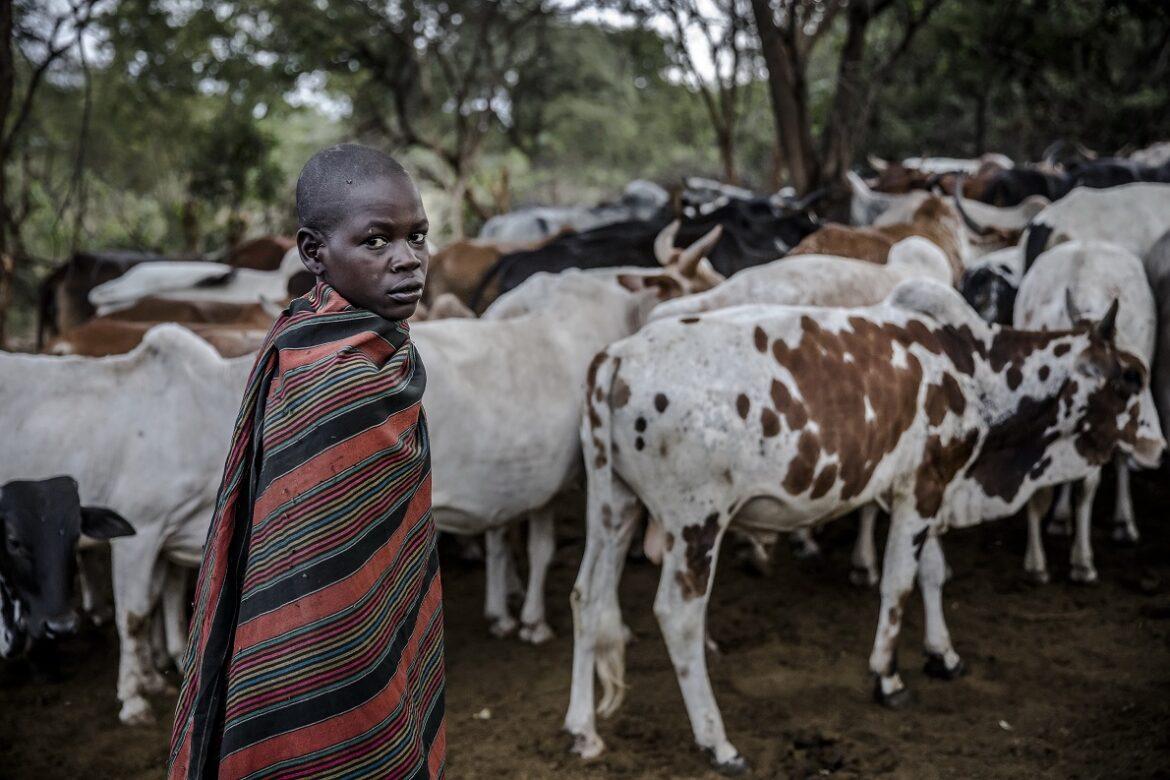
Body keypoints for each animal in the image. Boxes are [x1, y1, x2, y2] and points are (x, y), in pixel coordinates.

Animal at [565, 279, 1163, 771]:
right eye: (1131, 377)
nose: (1159, 445)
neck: (973, 365)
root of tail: (618, 355)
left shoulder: (922, 486)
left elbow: (931, 573)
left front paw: (943, 655)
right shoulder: (925, 484)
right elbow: (898, 581)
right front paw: (888, 676)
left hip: (612, 509)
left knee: (587, 598)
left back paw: (582, 732)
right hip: (697, 523)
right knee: (679, 615)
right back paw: (717, 742)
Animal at [1014, 241, 1162, 585]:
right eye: (1131, 374)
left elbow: (1086, 487)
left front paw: (1082, 561)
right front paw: (1036, 562)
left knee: (1119, 459)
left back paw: (1123, 523)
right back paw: (1061, 517)